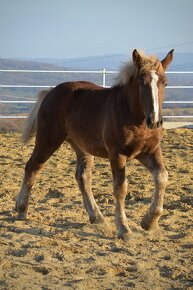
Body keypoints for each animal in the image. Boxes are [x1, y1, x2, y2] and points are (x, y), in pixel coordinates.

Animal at [15, 49, 174, 239]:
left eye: (165, 83)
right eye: (142, 83)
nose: (155, 121)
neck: (135, 119)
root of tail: (51, 91)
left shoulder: (150, 151)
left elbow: (162, 177)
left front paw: (149, 222)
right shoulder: (117, 155)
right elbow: (120, 188)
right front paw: (124, 229)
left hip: (82, 147)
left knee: (82, 177)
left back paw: (97, 217)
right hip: (48, 140)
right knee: (32, 167)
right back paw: (21, 209)